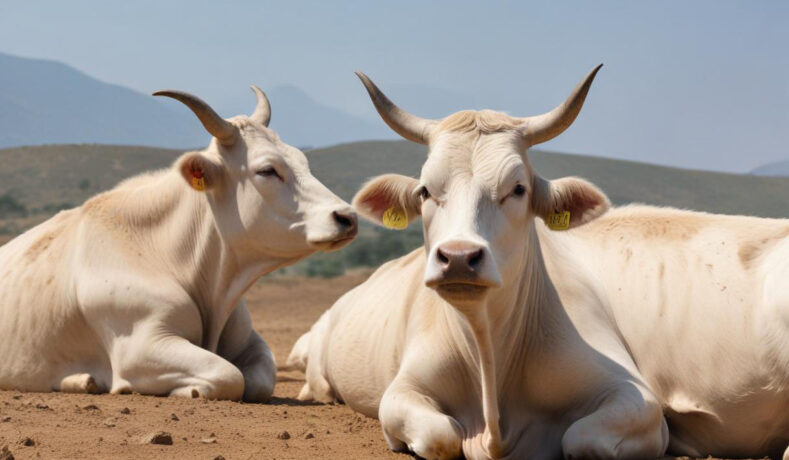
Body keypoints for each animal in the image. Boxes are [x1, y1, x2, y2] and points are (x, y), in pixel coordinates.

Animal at [0, 86, 358, 402]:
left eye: (301, 161)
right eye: (267, 170)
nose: (347, 216)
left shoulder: (251, 343)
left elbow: (259, 380)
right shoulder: (141, 346)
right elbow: (229, 376)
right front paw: (187, 389)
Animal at [288, 65, 788, 460]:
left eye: (518, 189)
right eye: (426, 191)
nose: (458, 257)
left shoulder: (637, 399)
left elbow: (582, 438)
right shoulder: (403, 392)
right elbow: (440, 436)